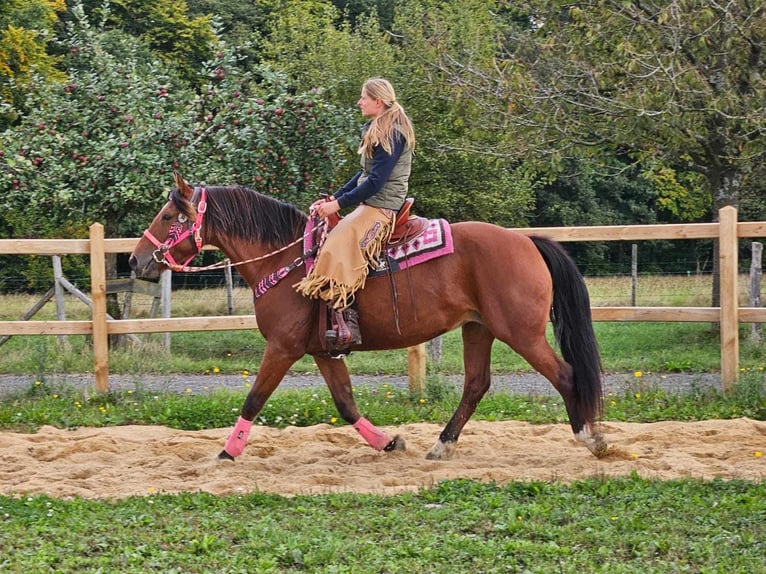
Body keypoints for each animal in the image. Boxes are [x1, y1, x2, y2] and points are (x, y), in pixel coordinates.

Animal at [134, 176, 612, 464]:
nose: (137, 260)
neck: (287, 259)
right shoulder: (323, 351)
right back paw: (441, 445)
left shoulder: (283, 347)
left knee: (566, 375)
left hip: (521, 333)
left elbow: (254, 398)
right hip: (479, 328)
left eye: (169, 216)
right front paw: (388, 442)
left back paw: (590, 438)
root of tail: (525, 241)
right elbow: (346, 404)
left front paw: (226, 453)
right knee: (476, 385)